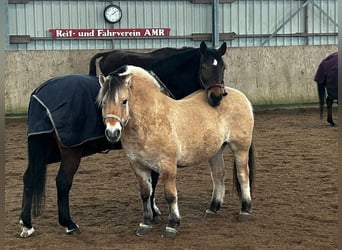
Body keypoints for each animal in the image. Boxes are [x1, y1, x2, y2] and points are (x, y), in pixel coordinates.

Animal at [97, 66, 255, 238]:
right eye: (103, 102)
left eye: (124, 100)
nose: (112, 133)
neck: (150, 120)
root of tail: (240, 96)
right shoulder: (138, 167)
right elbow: (145, 194)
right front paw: (145, 223)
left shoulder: (168, 166)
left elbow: (170, 196)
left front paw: (172, 226)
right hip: (216, 151)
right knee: (218, 176)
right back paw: (212, 209)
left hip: (240, 148)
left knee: (243, 175)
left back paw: (245, 211)